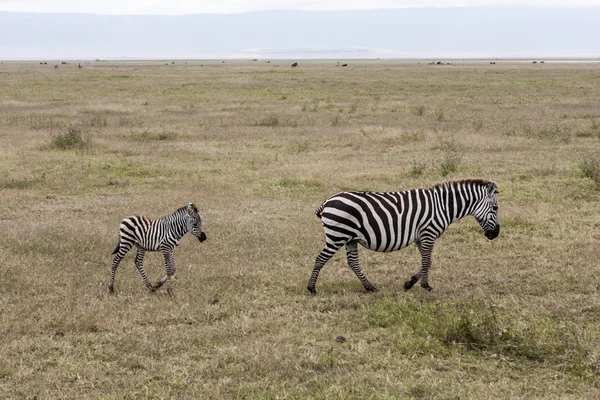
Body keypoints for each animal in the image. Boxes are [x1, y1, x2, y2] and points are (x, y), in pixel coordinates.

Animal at [308, 180, 500, 296]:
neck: (443, 206)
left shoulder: (421, 237)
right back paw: (311, 288)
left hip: (350, 239)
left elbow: (428, 261)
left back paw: (370, 287)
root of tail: (327, 201)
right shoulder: (429, 233)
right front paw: (425, 285)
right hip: (337, 236)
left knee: (353, 263)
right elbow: (426, 261)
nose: (496, 234)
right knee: (320, 258)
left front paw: (409, 283)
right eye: (496, 208)